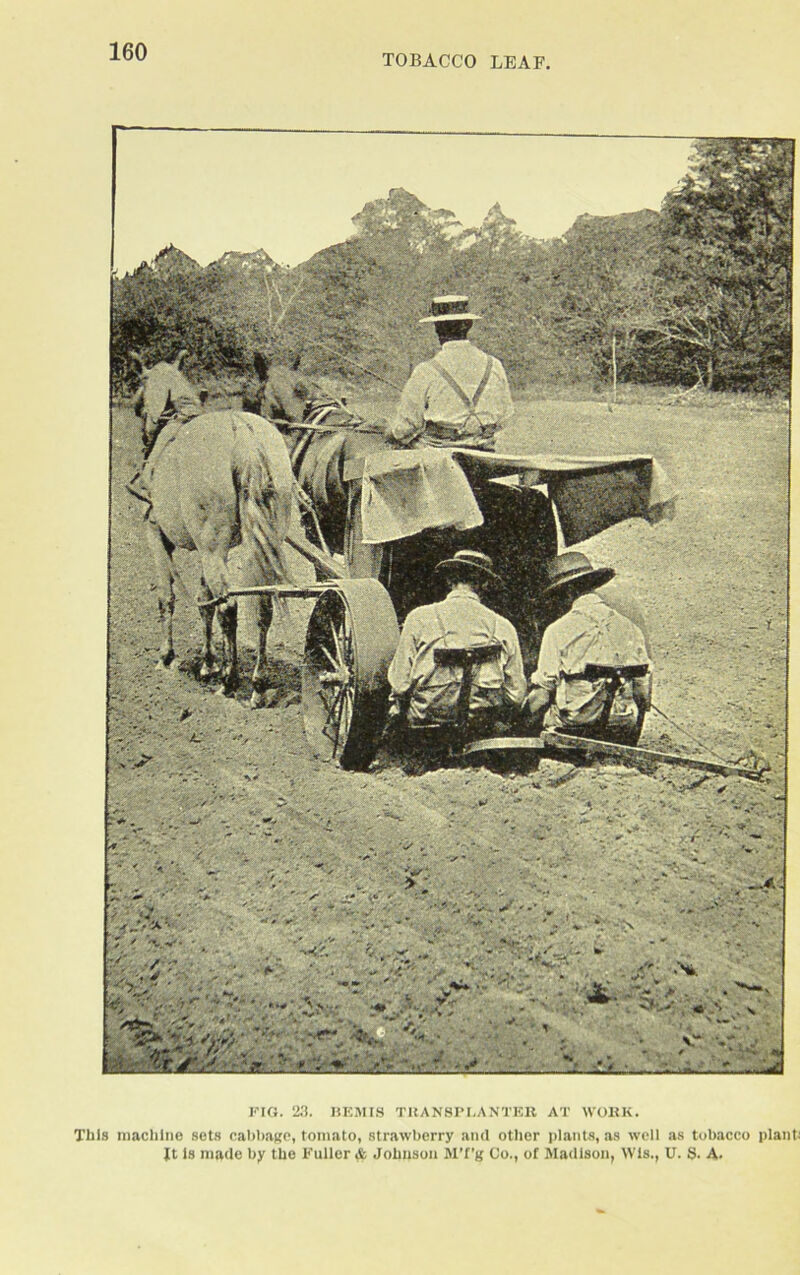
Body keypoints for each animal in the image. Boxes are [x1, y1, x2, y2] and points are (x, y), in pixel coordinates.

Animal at [131, 349, 294, 708]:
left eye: (138, 399)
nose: (145, 436)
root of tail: (241, 428)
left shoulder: (156, 534)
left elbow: (167, 596)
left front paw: (166, 657)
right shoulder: (215, 549)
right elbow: (204, 601)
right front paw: (208, 663)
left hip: (211, 547)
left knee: (229, 608)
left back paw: (230, 682)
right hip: (255, 544)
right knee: (261, 607)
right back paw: (257, 683)